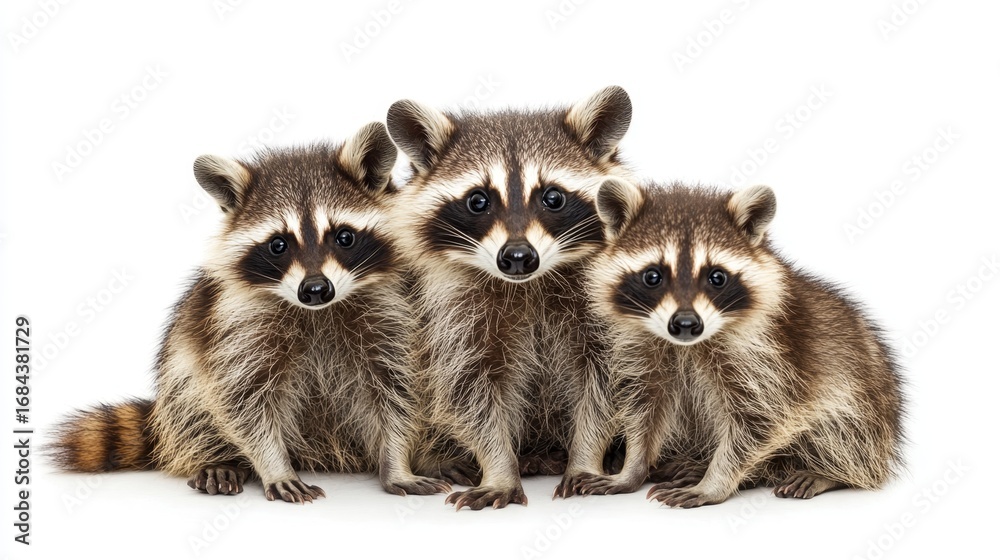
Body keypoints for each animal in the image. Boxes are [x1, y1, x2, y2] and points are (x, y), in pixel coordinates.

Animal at [50, 123, 451, 502]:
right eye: (278, 245)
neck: (319, 311)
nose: (316, 289)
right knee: (189, 401)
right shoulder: (238, 324)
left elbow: (397, 391)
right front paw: (273, 465)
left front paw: (396, 462)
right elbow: (244, 401)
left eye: (344, 237)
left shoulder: (391, 313)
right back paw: (220, 459)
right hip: (179, 373)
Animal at [386, 86, 635, 509]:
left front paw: (587, 456)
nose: (518, 256)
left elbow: (605, 381)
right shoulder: (452, 308)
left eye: (553, 198)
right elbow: (468, 390)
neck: (527, 284)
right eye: (478, 201)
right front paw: (499, 466)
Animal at [568, 180, 905, 507]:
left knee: (842, 433)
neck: (687, 345)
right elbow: (645, 410)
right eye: (653, 276)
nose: (686, 324)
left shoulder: (769, 357)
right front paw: (632, 469)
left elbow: (759, 420)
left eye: (717, 277)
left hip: (863, 406)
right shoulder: (640, 348)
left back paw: (821, 473)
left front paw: (715, 482)